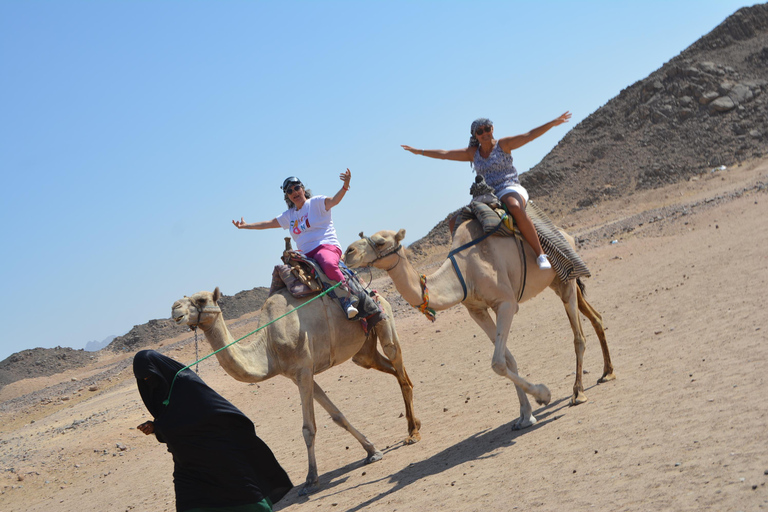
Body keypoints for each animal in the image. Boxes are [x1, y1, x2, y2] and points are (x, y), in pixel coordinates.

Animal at [171, 286, 420, 494]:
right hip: (363, 351)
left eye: (201, 300)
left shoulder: (303, 370)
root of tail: (374, 293)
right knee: (393, 371)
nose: (175, 308)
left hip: (384, 322)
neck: (269, 345)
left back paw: (413, 434)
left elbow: (308, 429)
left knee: (400, 368)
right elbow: (337, 415)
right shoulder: (298, 375)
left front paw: (310, 480)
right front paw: (371, 450)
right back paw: (413, 424)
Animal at [344, 223, 616, 428]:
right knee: (595, 317)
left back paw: (578, 393)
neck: (463, 274)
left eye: (380, 241)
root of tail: (566, 234)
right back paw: (607, 372)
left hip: (565, 280)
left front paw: (543, 395)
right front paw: (525, 415)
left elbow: (498, 363)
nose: (348, 252)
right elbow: (508, 360)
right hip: (558, 281)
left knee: (578, 336)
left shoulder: (506, 303)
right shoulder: (477, 310)